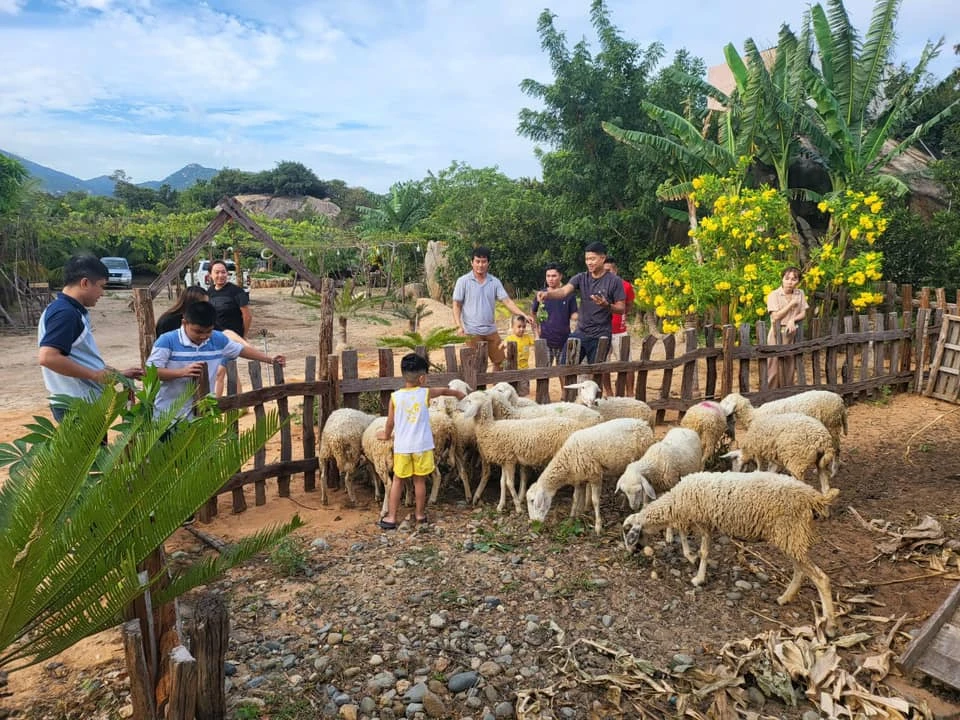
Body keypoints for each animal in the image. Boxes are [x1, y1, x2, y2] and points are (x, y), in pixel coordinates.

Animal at [520, 416, 656, 536]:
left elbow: (595, 501)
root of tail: (644, 423)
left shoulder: (595, 476)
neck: (568, 460)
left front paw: (598, 526)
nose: (533, 522)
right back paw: (624, 503)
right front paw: (571, 519)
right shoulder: (579, 479)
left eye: (532, 501)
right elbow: (575, 499)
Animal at [624, 472, 840, 636]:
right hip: (791, 537)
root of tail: (813, 496)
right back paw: (784, 598)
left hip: (790, 533)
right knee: (800, 571)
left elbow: (703, 550)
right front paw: (690, 557)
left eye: (627, 532)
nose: (630, 553)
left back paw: (829, 625)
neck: (677, 499)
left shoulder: (703, 521)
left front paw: (698, 577)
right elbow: (686, 536)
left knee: (820, 578)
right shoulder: (698, 520)